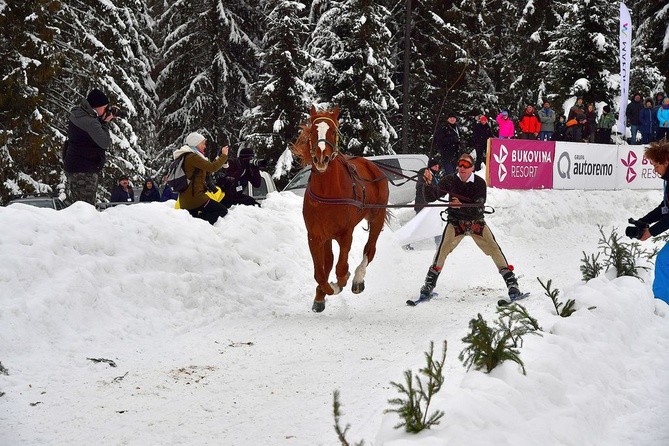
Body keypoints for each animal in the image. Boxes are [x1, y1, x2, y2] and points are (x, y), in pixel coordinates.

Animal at [290, 106, 388, 312]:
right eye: (313, 131)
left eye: (333, 132)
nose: (321, 158)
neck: (328, 194)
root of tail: (372, 166)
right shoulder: (316, 236)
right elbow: (321, 272)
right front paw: (322, 293)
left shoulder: (345, 234)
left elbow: (341, 269)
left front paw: (339, 283)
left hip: (377, 216)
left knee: (370, 250)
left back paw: (358, 278)